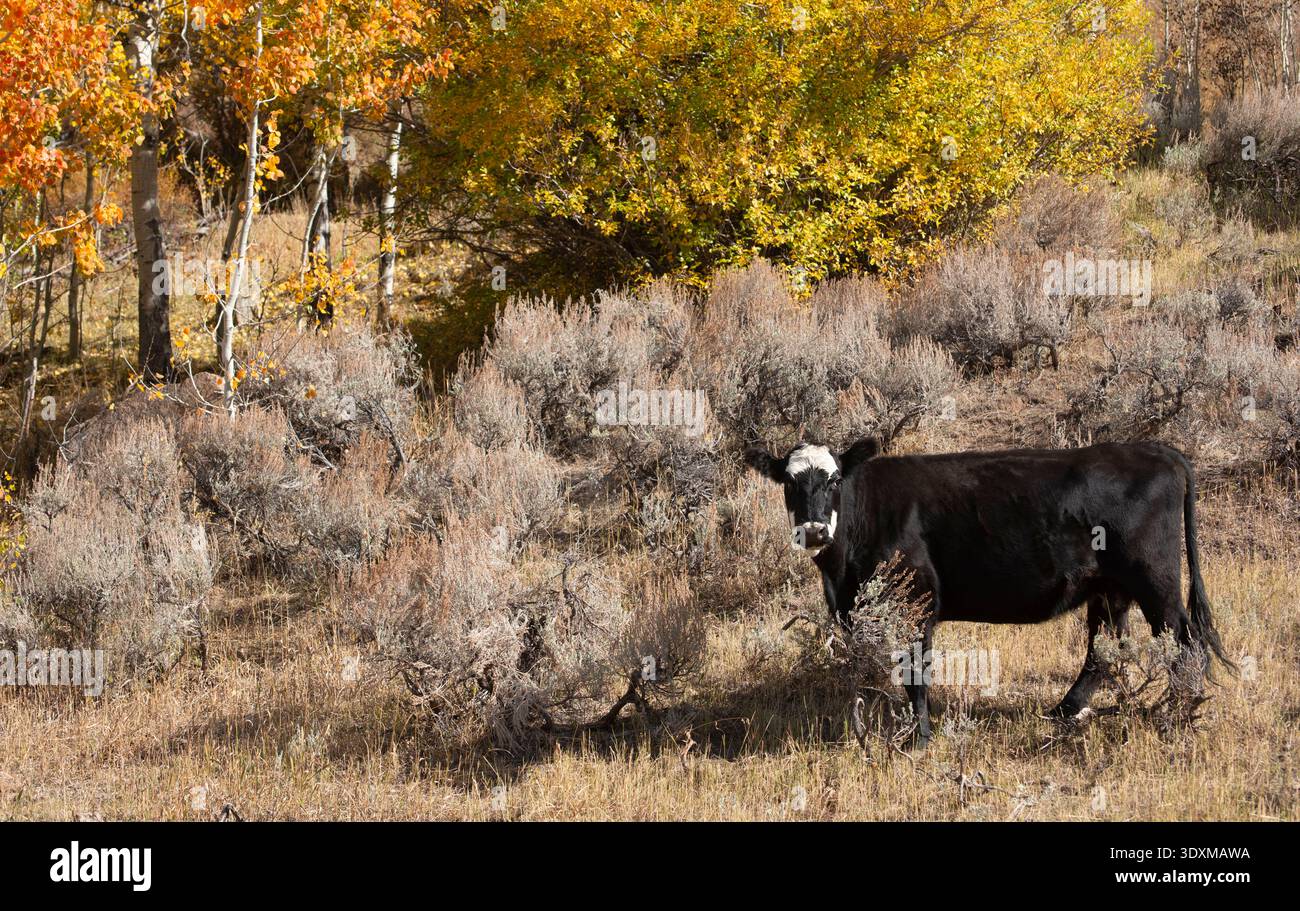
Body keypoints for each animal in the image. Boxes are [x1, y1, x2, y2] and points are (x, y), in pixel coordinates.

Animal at [744, 438, 1233, 746]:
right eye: (789, 483)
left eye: (834, 480)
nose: (813, 530)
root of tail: (1155, 449)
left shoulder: (917, 601)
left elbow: (916, 674)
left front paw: (919, 738)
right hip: (1109, 588)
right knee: (1105, 649)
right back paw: (1065, 710)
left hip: (1156, 580)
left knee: (1183, 642)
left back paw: (1177, 712)